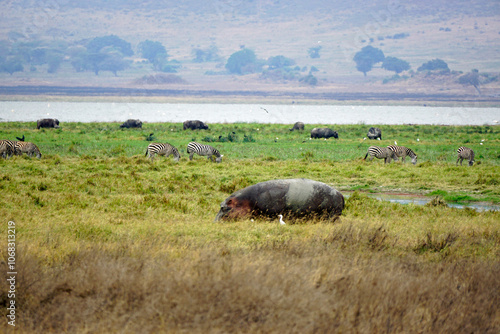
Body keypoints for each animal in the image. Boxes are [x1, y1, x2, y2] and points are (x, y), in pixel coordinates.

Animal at [215, 179, 344, 223]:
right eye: (220, 204)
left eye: (223, 207)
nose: (214, 221)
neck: (245, 201)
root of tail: (340, 194)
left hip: (331, 214)